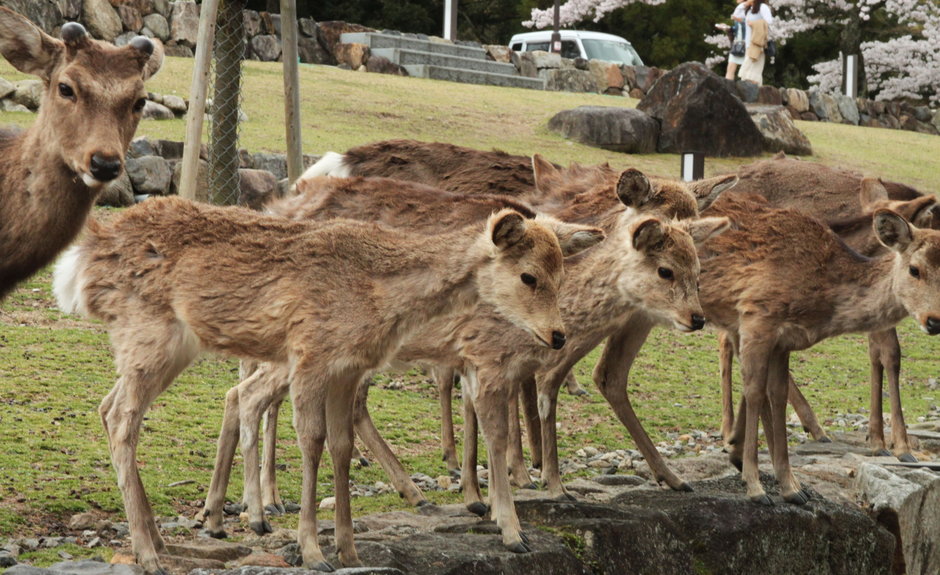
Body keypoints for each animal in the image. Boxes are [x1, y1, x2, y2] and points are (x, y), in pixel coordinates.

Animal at [51, 196, 600, 572]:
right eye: (528, 276)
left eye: (561, 271)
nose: (557, 335)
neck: (377, 297)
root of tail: (83, 260)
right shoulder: (311, 353)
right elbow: (311, 442)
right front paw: (313, 550)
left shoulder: (350, 367)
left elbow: (341, 446)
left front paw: (351, 550)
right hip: (149, 334)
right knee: (123, 416)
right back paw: (149, 553)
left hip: (164, 346)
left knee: (109, 407)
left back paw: (164, 538)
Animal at [692, 192, 940, 504]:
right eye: (914, 269)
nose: (935, 320)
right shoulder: (756, 317)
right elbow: (755, 392)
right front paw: (756, 486)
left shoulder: (781, 341)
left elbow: (776, 394)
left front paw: (790, 486)